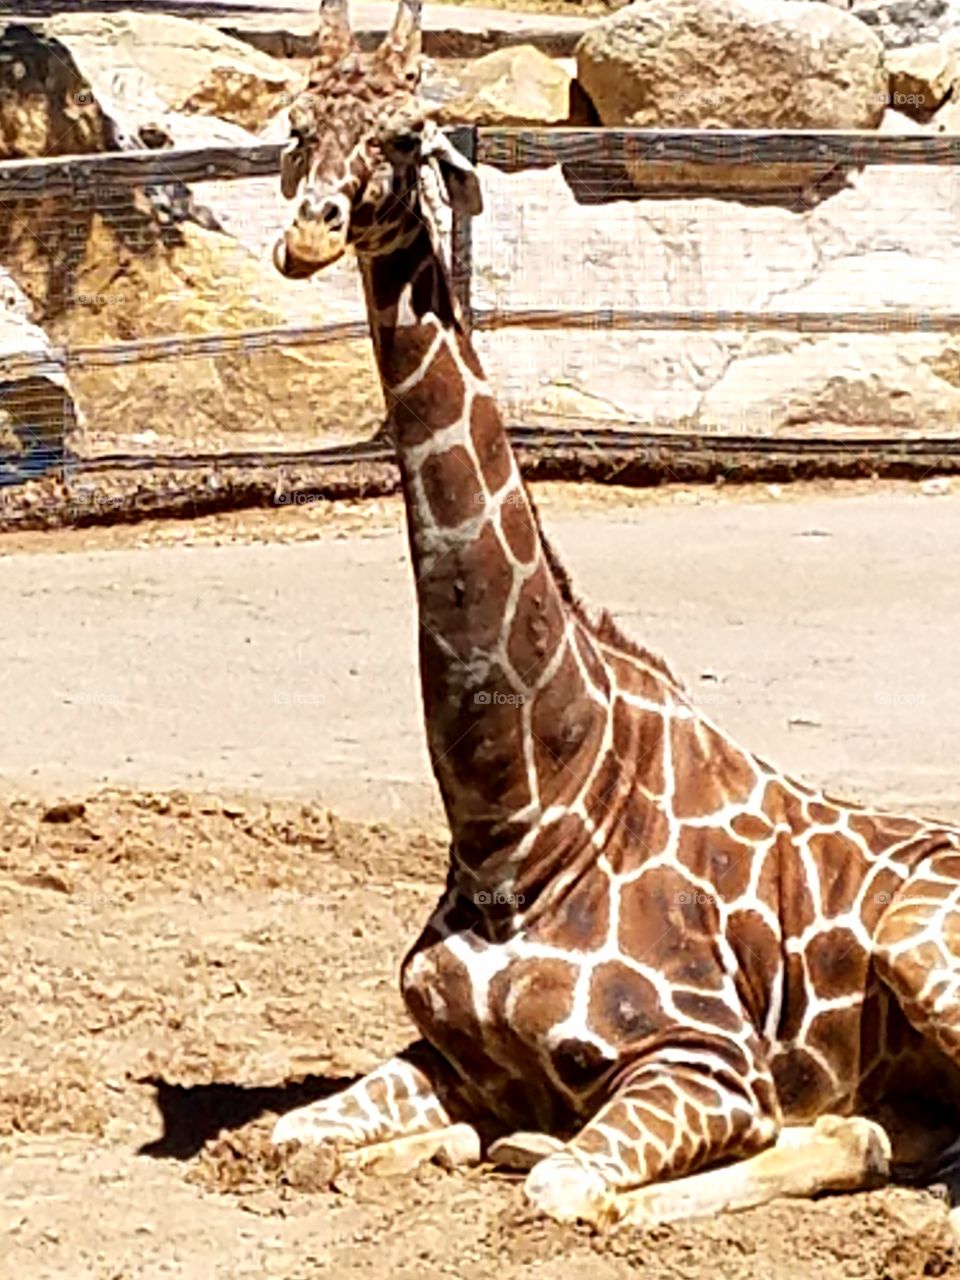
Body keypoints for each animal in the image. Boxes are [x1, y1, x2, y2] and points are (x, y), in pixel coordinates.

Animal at [268, 0, 960, 1228]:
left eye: (404, 136)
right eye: (299, 124)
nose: (306, 236)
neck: (521, 812)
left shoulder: (706, 1060)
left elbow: (560, 1183)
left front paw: (524, 1162)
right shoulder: (447, 1049)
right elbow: (288, 1138)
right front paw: (430, 1146)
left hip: (924, 947)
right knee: (879, 1135)